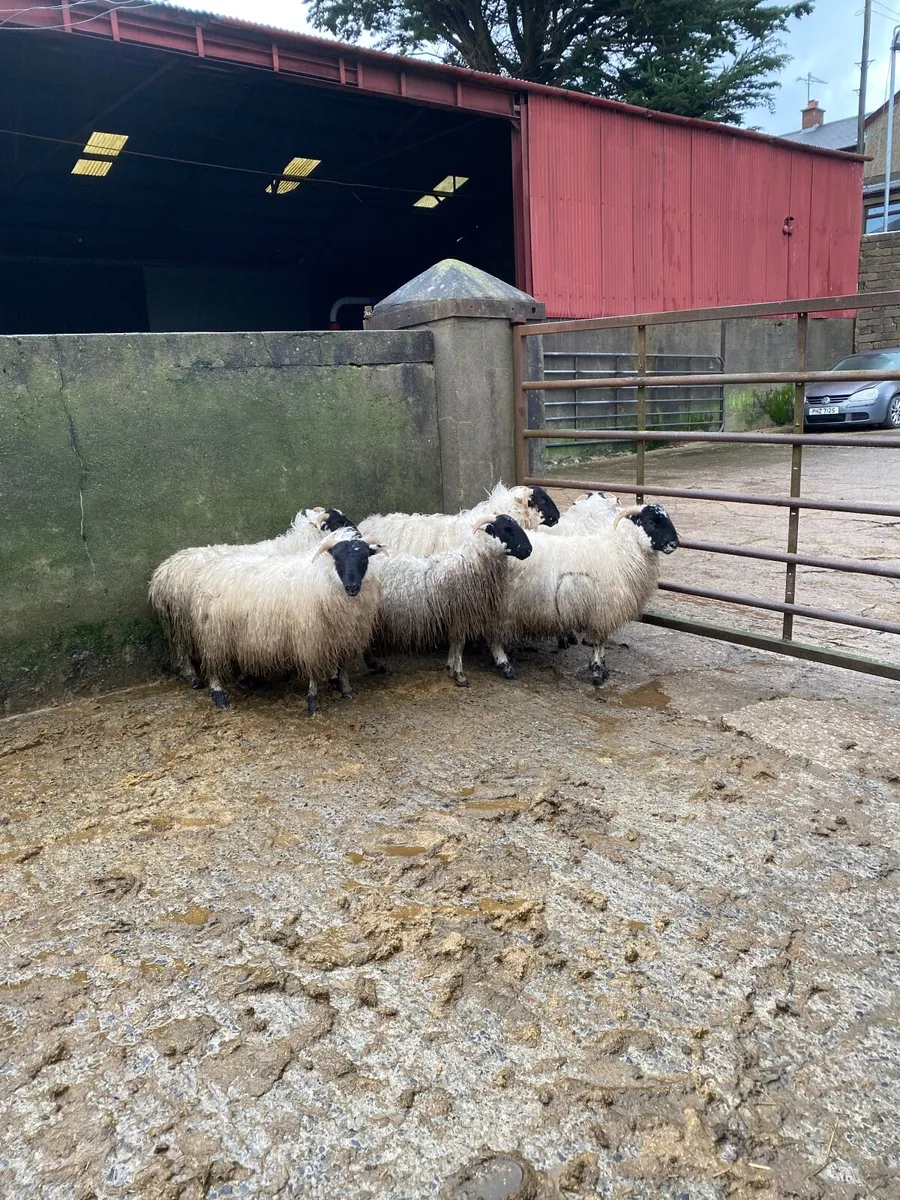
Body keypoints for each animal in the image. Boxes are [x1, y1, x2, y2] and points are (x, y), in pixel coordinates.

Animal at [150, 531, 384, 713]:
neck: (325, 578)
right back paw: (216, 694)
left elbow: (343, 665)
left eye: (365, 559)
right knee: (207, 662)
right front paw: (312, 702)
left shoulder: (343, 633)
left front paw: (346, 690)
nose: (352, 587)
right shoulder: (309, 637)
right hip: (208, 632)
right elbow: (313, 673)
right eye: (338, 559)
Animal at [366, 513, 532, 687]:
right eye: (507, 529)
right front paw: (459, 674)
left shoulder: (454, 615)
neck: (470, 563)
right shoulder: (460, 613)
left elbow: (454, 644)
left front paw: (451, 668)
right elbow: (459, 643)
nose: (529, 550)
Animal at [499, 503, 679, 685]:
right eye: (651, 521)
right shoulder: (603, 611)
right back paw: (504, 664)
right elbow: (599, 642)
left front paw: (600, 667)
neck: (619, 550)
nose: (674, 543)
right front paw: (597, 671)